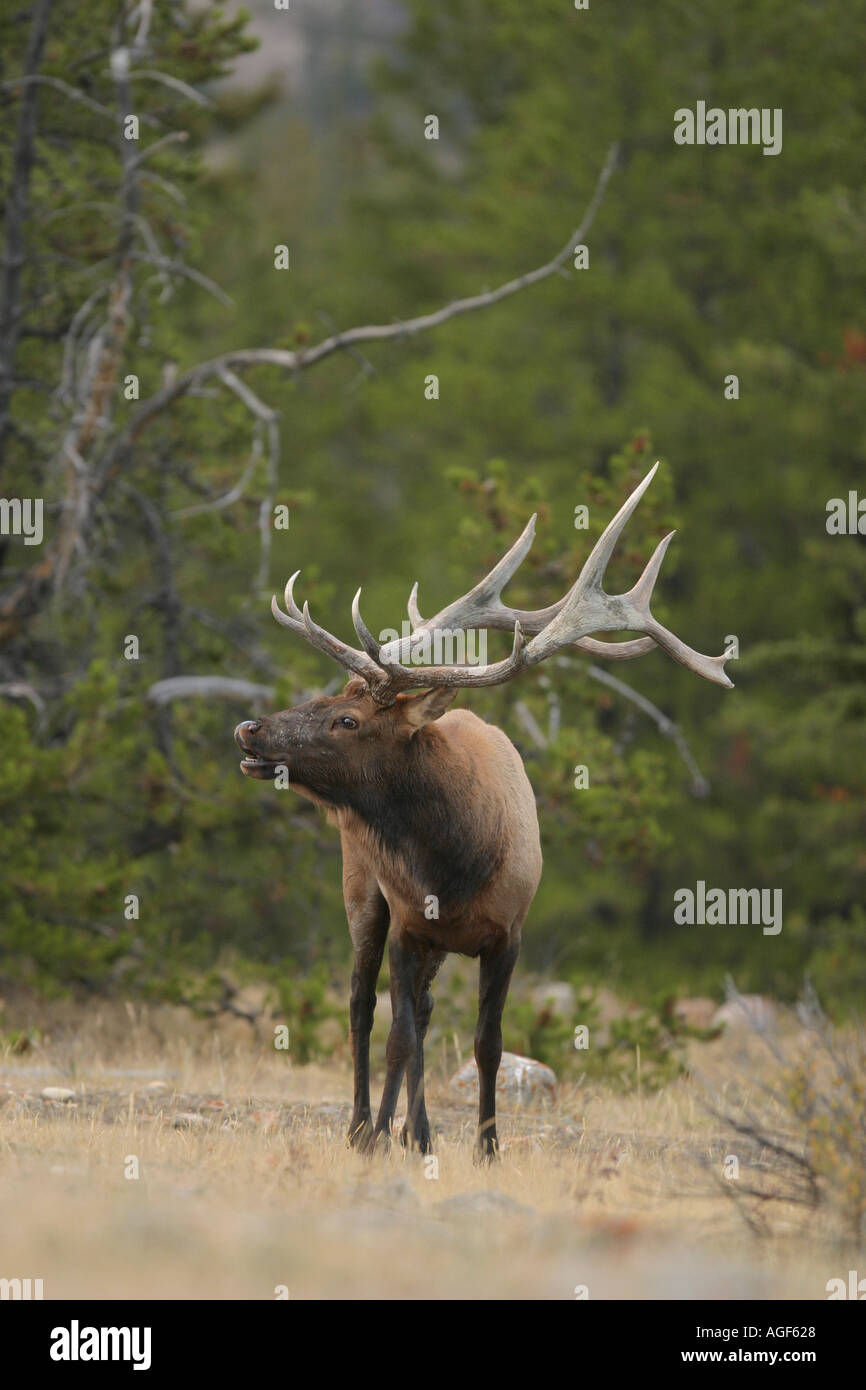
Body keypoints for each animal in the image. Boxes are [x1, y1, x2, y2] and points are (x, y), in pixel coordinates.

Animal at [234, 463, 732, 1159]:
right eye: (325, 696)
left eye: (347, 718)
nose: (249, 729)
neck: (455, 862)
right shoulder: (409, 923)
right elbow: (399, 1036)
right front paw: (390, 1135)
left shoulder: (508, 933)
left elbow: (486, 1044)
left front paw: (484, 1146)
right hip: (362, 891)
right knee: (363, 1006)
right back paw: (364, 1126)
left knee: (418, 1014)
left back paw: (404, 1130)